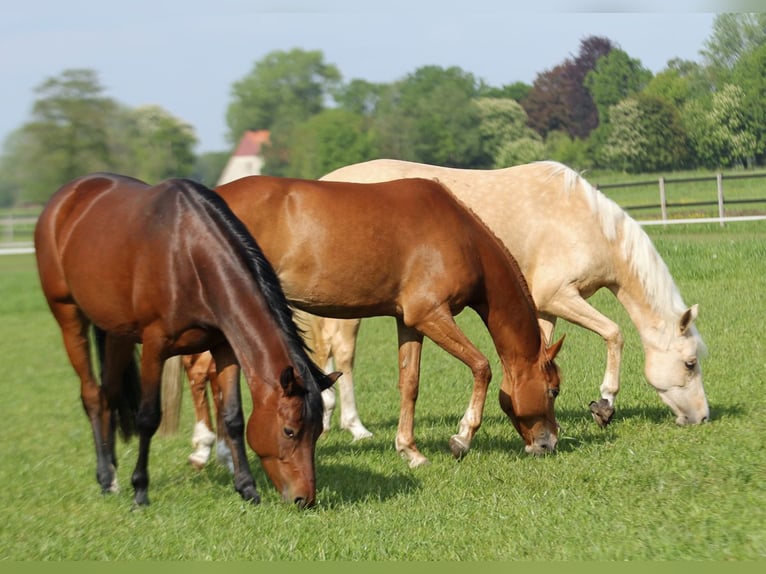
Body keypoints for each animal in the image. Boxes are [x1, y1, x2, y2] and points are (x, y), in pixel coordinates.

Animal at [34, 174, 338, 508]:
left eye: (318, 431)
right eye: (289, 431)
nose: (304, 499)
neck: (189, 254)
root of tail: (66, 197)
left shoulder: (225, 346)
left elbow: (233, 417)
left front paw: (247, 488)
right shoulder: (154, 346)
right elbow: (148, 418)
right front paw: (140, 491)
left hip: (117, 333)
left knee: (108, 395)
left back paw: (112, 475)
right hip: (68, 315)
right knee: (91, 395)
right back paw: (105, 477)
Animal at [177, 177, 568, 472]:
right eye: (553, 390)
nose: (549, 443)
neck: (463, 236)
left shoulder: (409, 321)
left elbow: (410, 383)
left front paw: (410, 450)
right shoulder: (431, 314)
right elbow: (482, 367)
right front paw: (461, 438)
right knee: (202, 373)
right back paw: (211, 451)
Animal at [304, 160, 708, 438]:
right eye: (690, 364)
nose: (703, 417)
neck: (583, 220)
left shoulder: (544, 308)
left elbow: (541, 352)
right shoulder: (560, 296)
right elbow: (614, 333)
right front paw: (605, 403)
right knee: (344, 354)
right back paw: (354, 426)